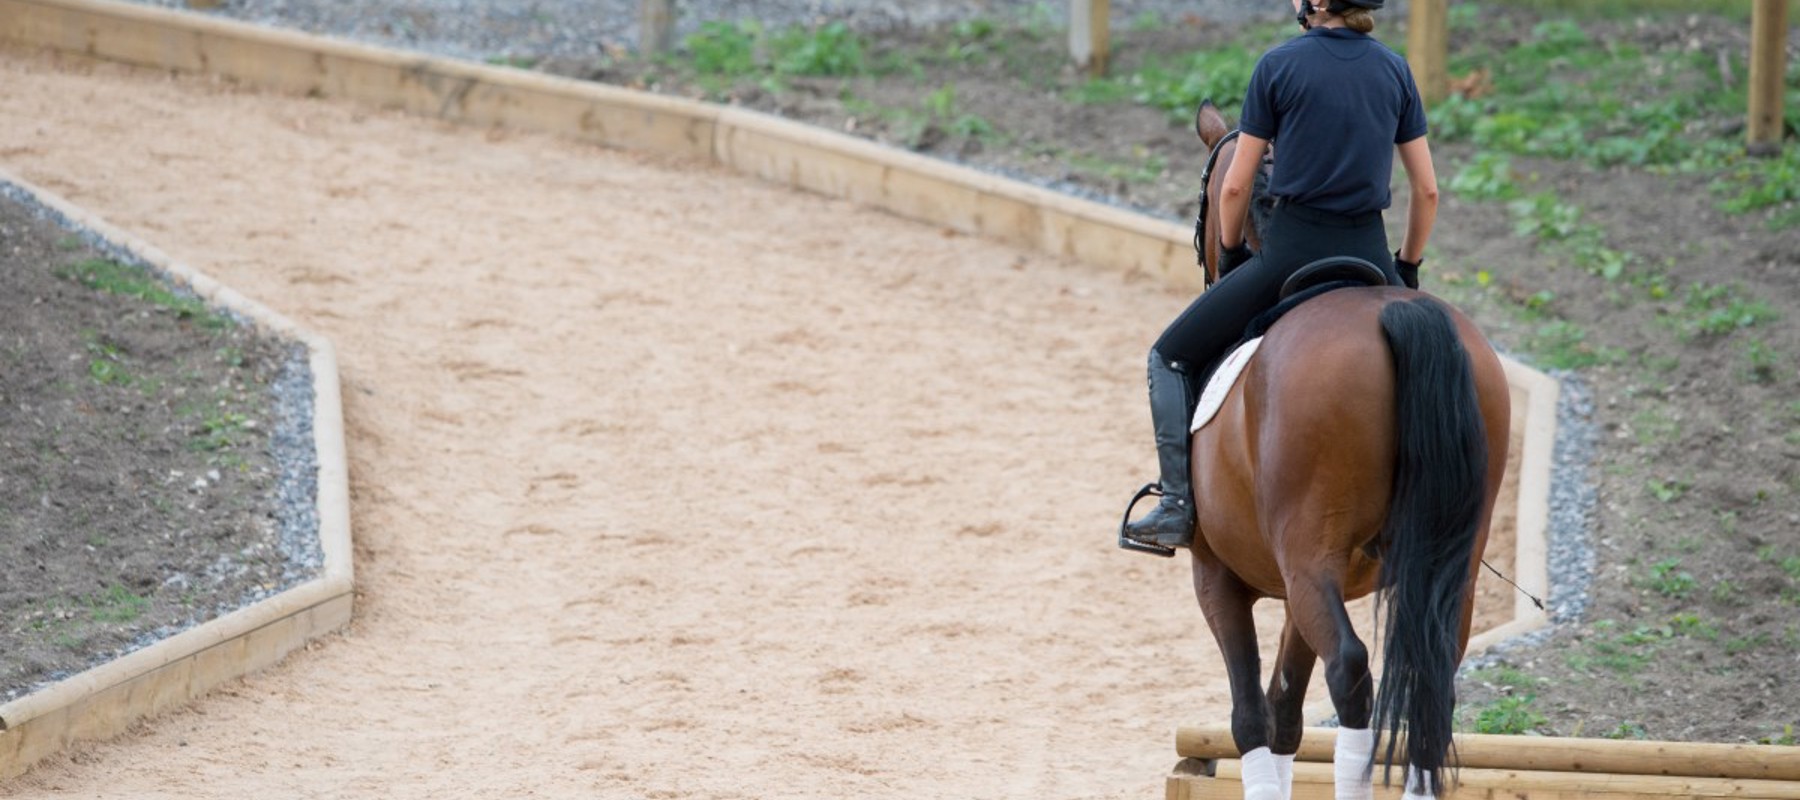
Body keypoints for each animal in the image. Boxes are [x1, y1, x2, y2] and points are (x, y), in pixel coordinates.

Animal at [1169, 101, 1512, 800]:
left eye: (1206, 195)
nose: (1215, 258)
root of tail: (1393, 314)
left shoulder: (1218, 574)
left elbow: (1252, 714)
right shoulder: (1298, 585)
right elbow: (1284, 712)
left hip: (1309, 555)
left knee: (1352, 671)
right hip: (1443, 563)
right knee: (1433, 679)